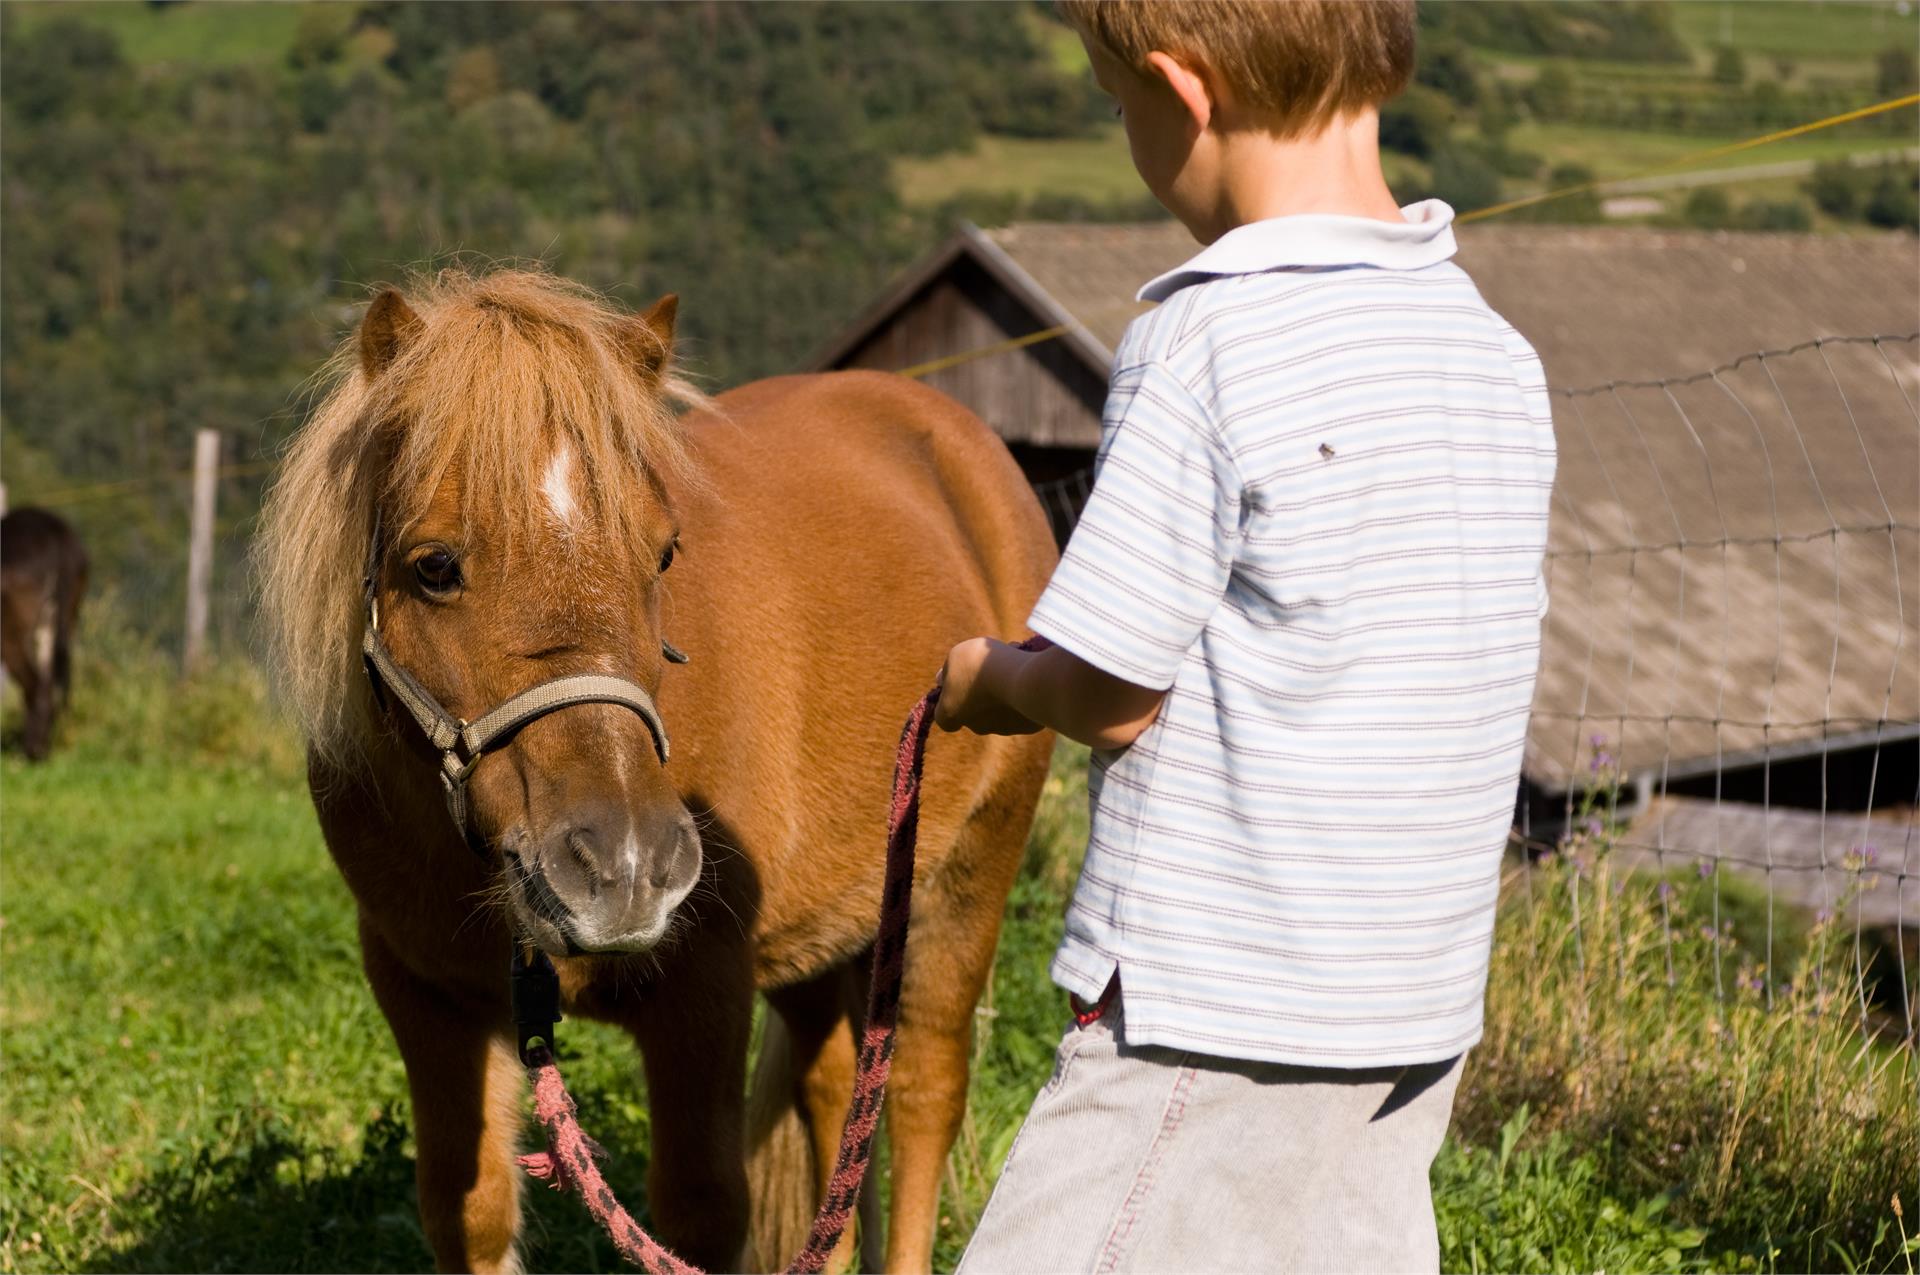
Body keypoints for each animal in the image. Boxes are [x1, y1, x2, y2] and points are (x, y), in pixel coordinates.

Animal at [253, 270, 1052, 1275]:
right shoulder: (426, 995)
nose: (624, 864)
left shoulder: (702, 995)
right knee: (836, 1105)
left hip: (969, 874)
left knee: (920, 1096)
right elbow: (469, 1206)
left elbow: (701, 1210)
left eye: (663, 553)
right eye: (432, 566)